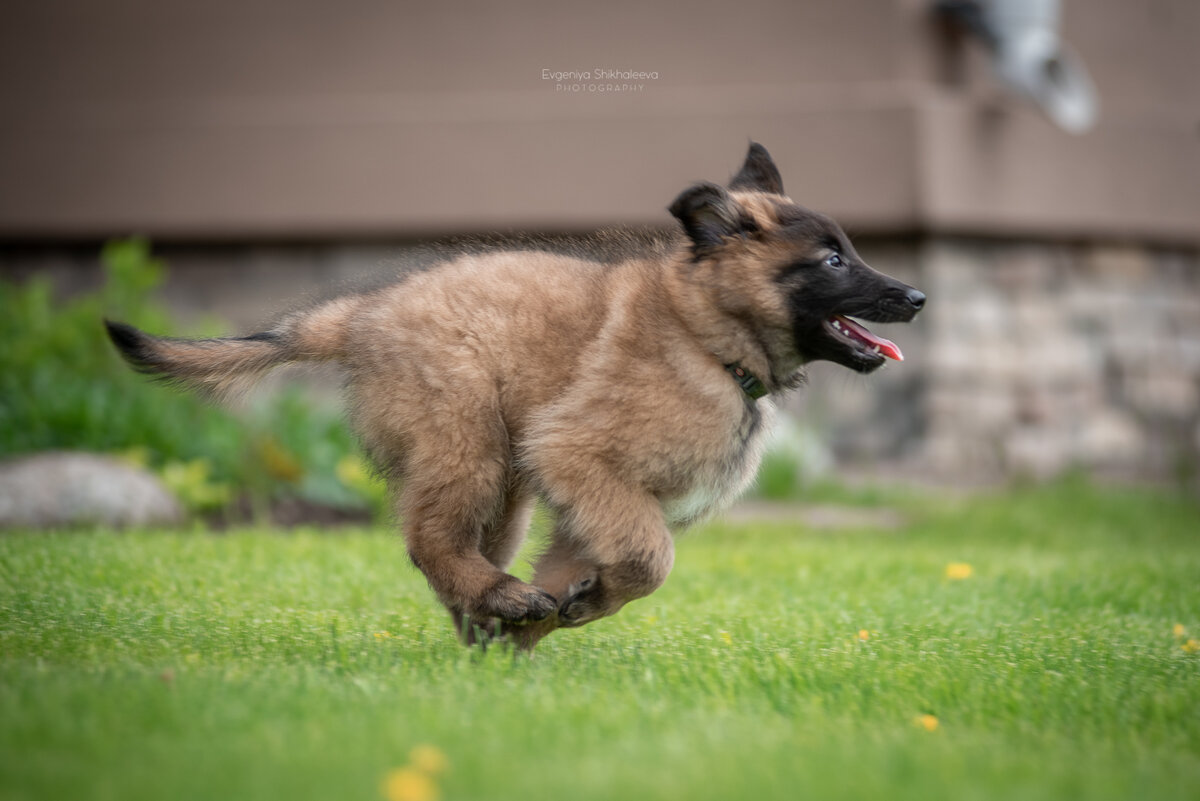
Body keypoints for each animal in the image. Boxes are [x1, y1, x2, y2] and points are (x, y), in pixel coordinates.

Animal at [105, 142, 926, 642]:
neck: (707, 340)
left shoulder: (588, 498)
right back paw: (497, 601)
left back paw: (488, 621)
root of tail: (360, 313)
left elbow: (597, 568)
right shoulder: (578, 457)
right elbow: (650, 559)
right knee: (429, 540)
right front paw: (552, 615)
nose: (917, 297)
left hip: (503, 485)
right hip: (467, 439)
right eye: (831, 259)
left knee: (453, 554)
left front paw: (551, 621)